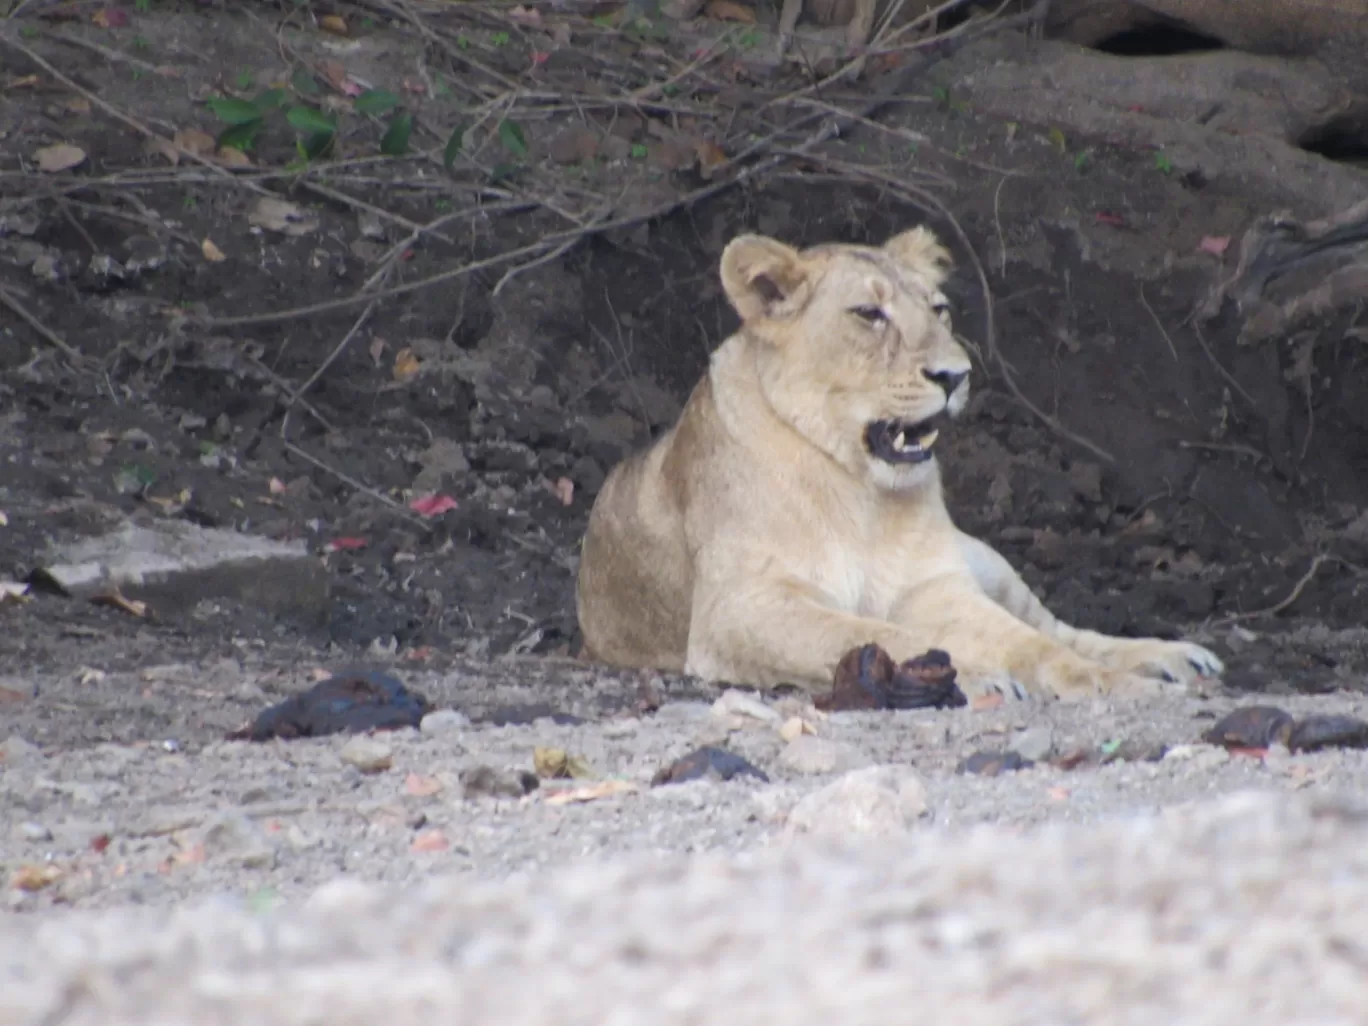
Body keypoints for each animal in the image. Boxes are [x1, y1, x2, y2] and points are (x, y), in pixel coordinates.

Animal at [571, 228, 1225, 705]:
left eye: (939, 309)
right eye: (869, 314)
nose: (955, 375)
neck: (860, 491)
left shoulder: (936, 586)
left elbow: (1032, 645)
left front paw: (1108, 682)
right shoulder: (740, 609)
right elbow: (874, 631)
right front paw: (973, 677)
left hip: (984, 561)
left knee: (1056, 626)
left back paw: (1172, 658)